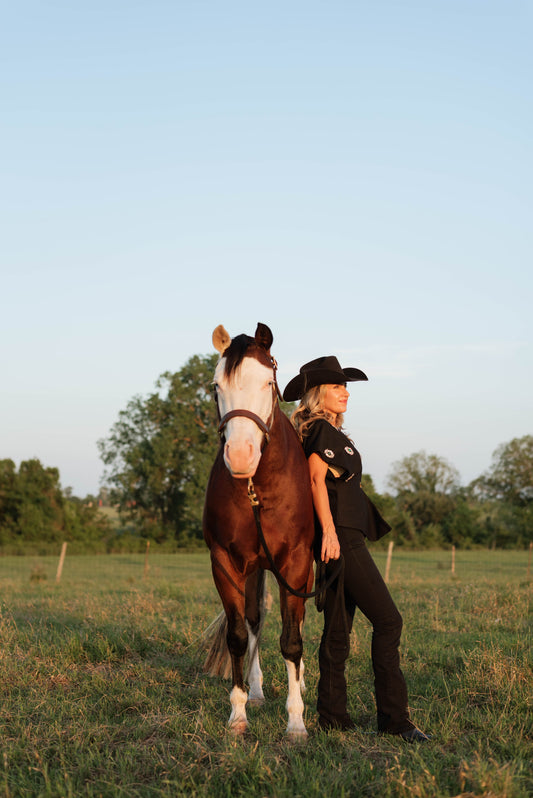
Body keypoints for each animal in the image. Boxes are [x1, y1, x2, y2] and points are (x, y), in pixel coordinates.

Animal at [202, 322, 315, 739]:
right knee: (253, 622)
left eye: (268, 382)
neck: (258, 488)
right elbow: (238, 634)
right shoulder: (226, 563)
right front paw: (238, 714)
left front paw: (296, 722)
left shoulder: (296, 565)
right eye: (216, 386)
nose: (239, 455)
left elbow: (292, 639)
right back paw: (256, 692)